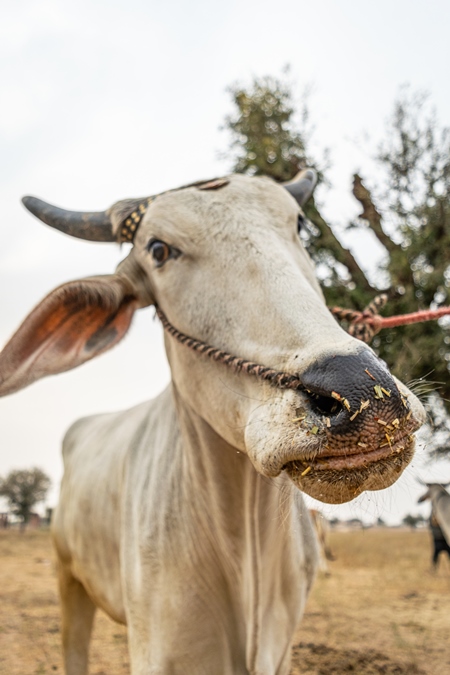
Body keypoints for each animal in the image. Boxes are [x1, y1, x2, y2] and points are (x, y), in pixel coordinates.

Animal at [0, 170, 426, 675]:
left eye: (299, 224)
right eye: (159, 250)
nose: (362, 392)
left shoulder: (281, 651)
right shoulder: (160, 652)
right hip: (69, 581)